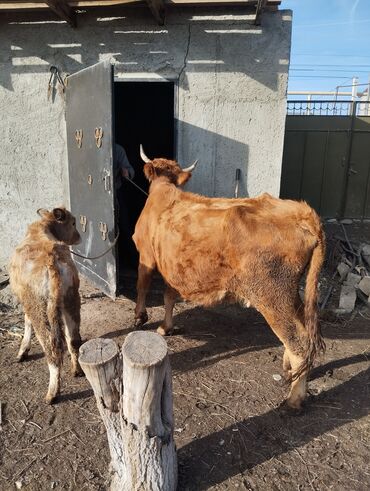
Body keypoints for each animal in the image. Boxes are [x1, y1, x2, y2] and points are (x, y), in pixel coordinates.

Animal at [9, 208, 82, 404]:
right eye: (73, 222)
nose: (79, 237)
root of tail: (51, 259)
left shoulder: (27, 300)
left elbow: (26, 321)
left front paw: (22, 351)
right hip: (71, 299)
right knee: (73, 340)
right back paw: (76, 370)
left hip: (40, 307)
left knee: (52, 348)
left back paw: (52, 393)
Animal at [132, 147, 324, 412]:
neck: (164, 191)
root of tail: (303, 213)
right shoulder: (172, 265)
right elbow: (169, 295)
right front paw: (166, 327)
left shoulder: (147, 257)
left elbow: (142, 286)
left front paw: (140, 317)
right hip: (291, 294)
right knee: (301, 332)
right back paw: (290, 370)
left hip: (272, 296)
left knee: (299, 342)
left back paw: (294, 399)